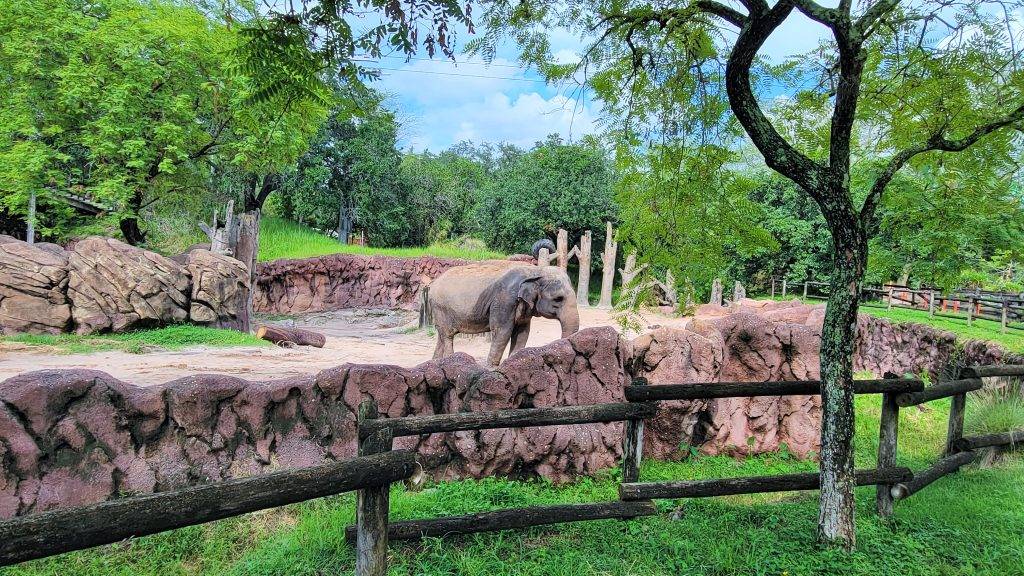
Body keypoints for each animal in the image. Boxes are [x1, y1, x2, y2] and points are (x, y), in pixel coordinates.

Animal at [428, 260, 581, 362]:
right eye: (558, 299)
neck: (535, 271)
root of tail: (432, 285)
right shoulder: (505, 300)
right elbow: (503, 331)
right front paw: (491, 370)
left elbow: (522, 333)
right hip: (441, 308)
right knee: (447, 336)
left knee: (441, 336)